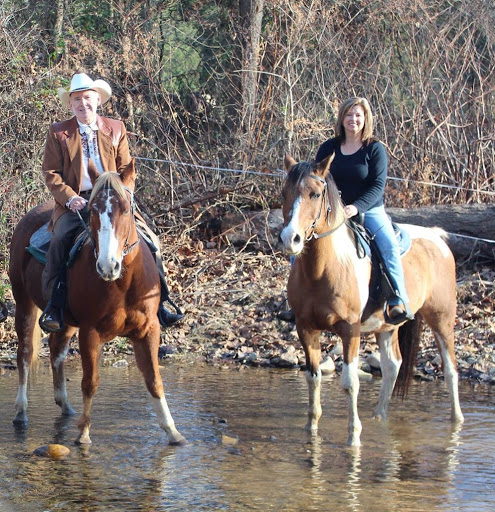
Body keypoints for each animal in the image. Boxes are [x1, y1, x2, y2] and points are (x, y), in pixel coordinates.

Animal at [9, 163, 186, 444]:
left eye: (126, 208)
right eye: (92, 209)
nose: (107, 266)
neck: (123, 283)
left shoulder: (148, 329)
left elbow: (154, 380)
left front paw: (173, 431)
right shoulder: (90, 332)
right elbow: (90, 382)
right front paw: (83, 434)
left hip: (66, 320)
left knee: (57, 349)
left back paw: (65, 406)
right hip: (24, 302)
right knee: (25, 354)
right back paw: (21, 412)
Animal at [280, 154, 464, 446]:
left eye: (315, 193)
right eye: (284, 193)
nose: (290, 239)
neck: (323, 268)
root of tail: (437, 237)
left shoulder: (350, 329)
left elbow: (350, 382)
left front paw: (354, 437)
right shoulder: (306, 328)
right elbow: (313, 377)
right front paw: (311, 429)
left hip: (442, 320)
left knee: (451, 370)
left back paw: (456, 421)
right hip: (388, 326)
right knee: (392, 365)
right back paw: (379, 417)